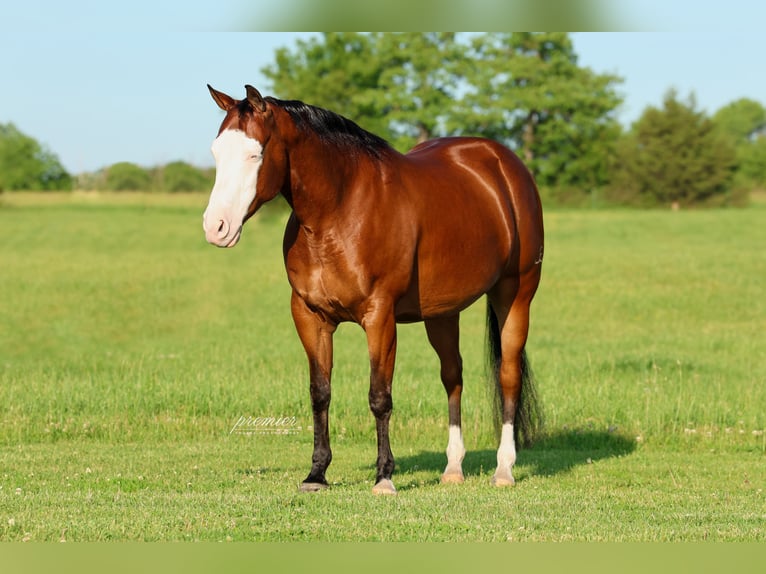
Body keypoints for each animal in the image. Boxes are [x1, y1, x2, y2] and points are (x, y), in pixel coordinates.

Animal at [203, 85, 544, 495]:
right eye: (216, 152)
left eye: (255, 154)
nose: (216, 227)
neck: (339, 210)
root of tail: (503, 164)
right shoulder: (309, 317)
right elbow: (320, 393)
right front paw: (316, 474)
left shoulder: (380, 317)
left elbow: (379, 397)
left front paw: (384, 476)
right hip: (443, 313)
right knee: (453, 376)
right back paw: (453, 468)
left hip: (515, 294)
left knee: (508, 375)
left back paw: (504, 469)